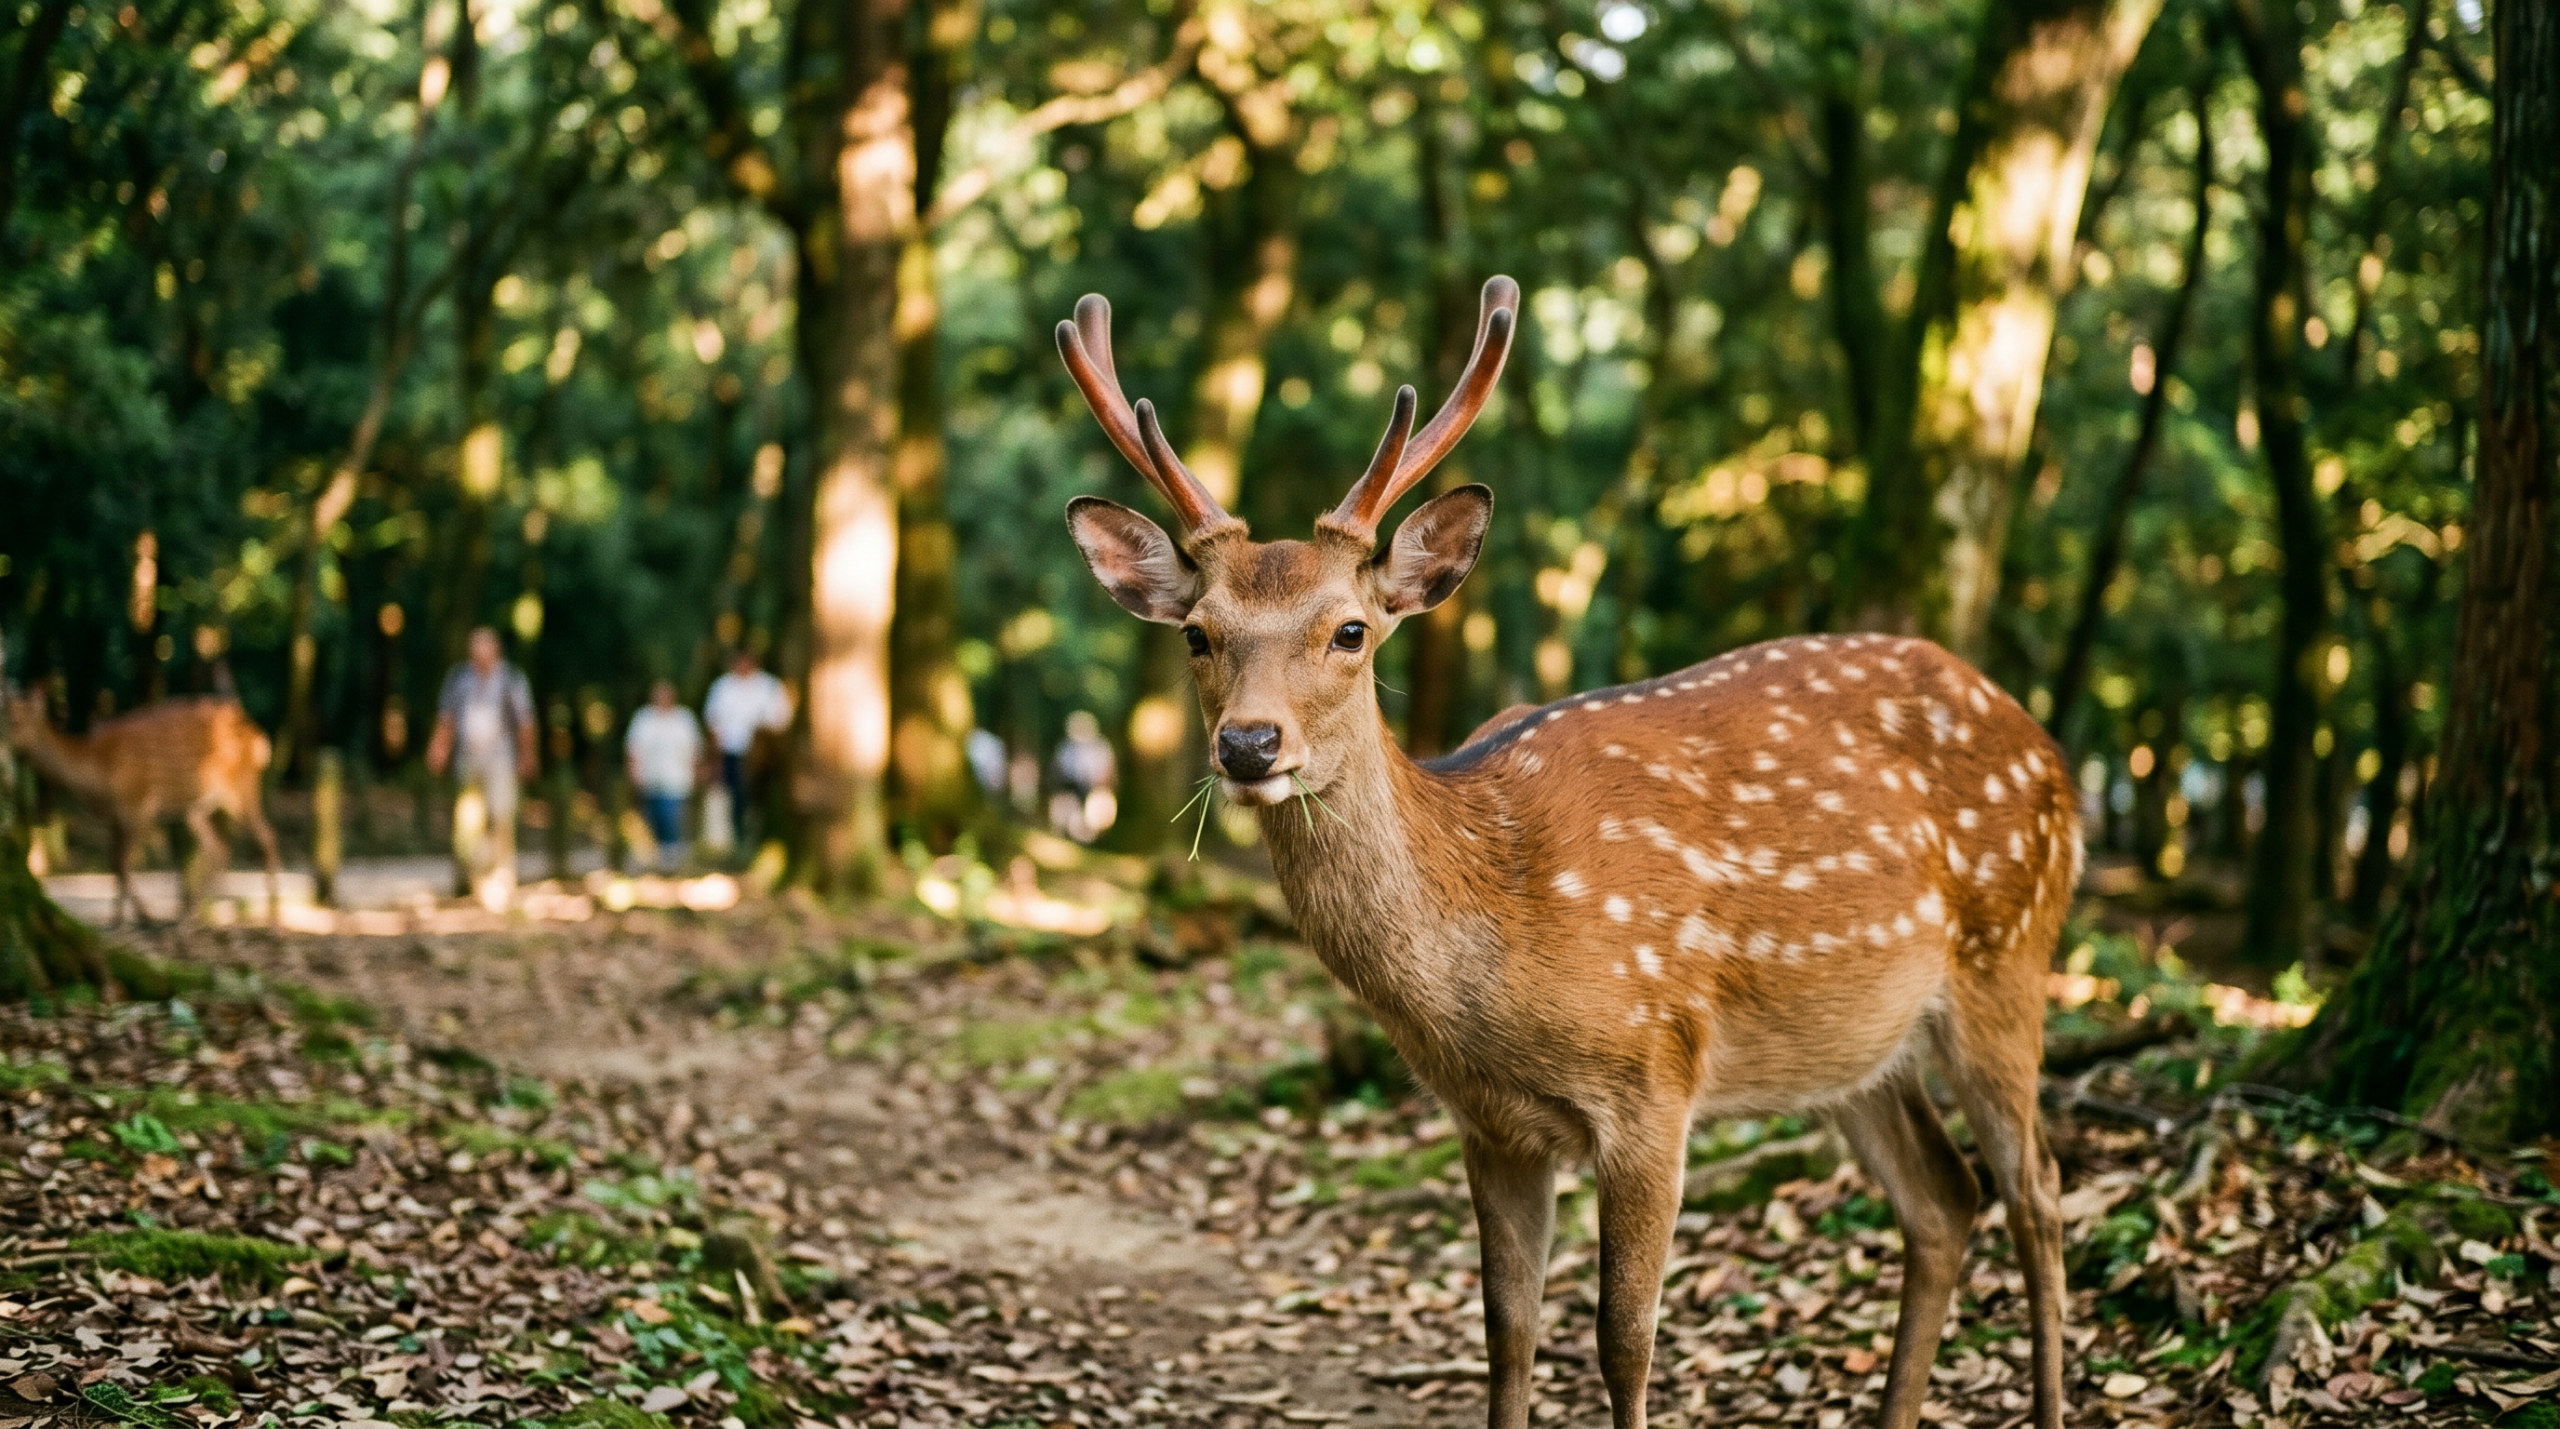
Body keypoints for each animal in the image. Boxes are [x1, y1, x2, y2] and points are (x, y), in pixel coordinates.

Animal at [6, 690, 283, 926]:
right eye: (4, 711)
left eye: (16, 719)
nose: (7, 745)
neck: (98, 776)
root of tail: (261, 738)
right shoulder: (114, 819)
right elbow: (114, 863)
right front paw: (117, 918)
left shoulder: (138, 806)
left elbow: (122, 863)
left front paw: (143, 916)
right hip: (197, 807)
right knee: (219, 848)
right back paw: (186, 917)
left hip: (241, 786)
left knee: (266, 836)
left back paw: (273, 916)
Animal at [1055, 276, 2083, 1429]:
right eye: (1198, 632)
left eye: (1351, 629)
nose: (1247, 744)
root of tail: (2050, 750)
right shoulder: (1491, 1125)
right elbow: (1507, 1331)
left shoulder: (1653, 1076)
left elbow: (1622, 1338)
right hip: (1856, 1043)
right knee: (1944, 1199)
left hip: (2009, 953)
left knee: (2037, 1192)